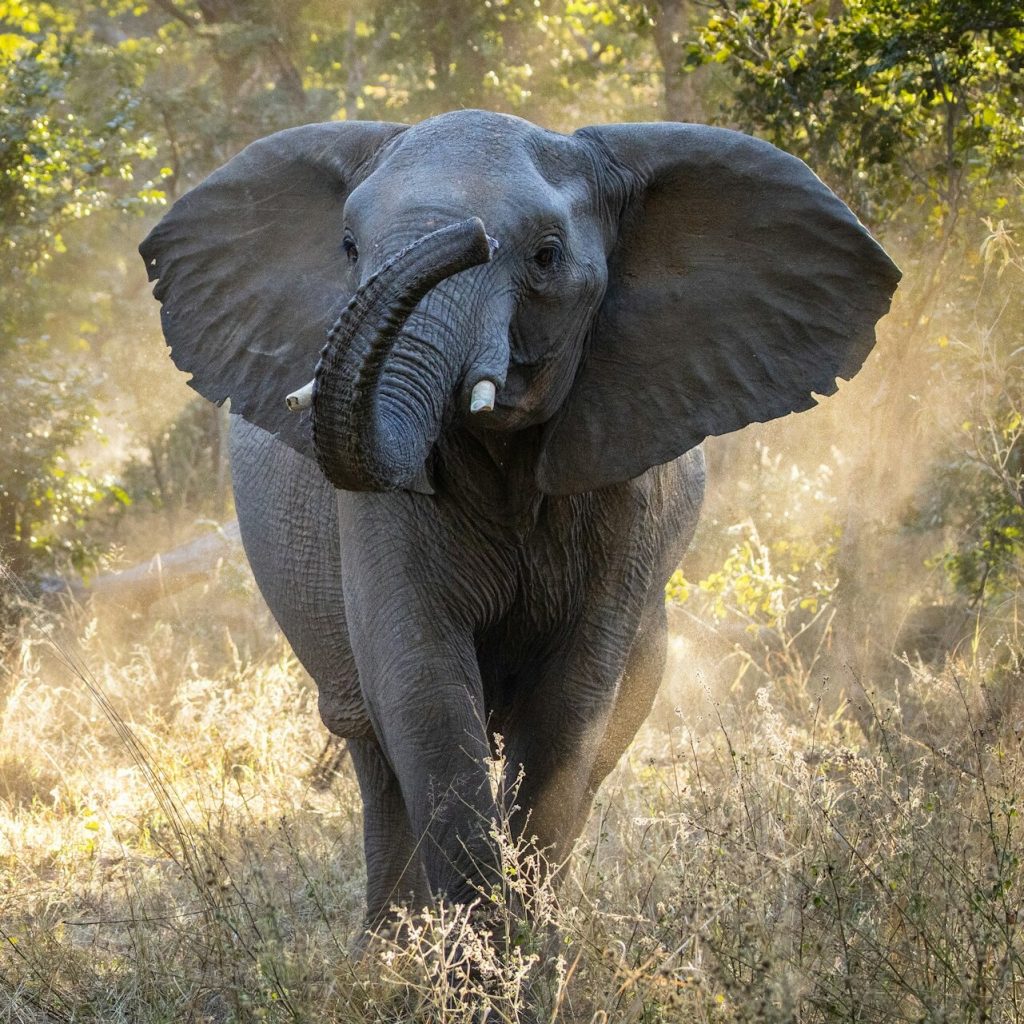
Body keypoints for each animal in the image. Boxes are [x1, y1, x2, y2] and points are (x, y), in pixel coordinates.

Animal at [140, 110, 899, 929]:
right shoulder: (378, 513)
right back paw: (392, 950)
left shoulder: (627, 490)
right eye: (346, 247)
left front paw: (525, 955)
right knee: (372, 746)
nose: (467, 237)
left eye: (545, 256)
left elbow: (569, 709)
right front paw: (472, 956)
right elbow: (424, 690)